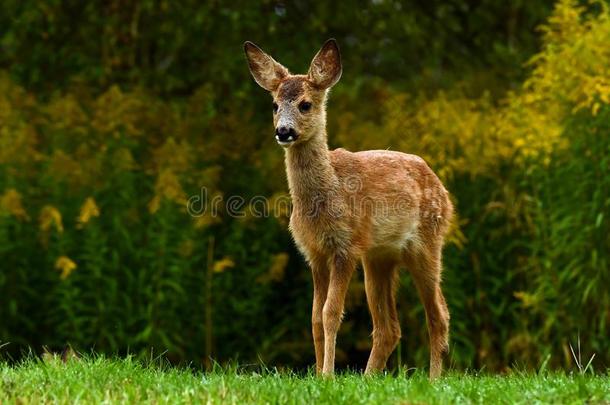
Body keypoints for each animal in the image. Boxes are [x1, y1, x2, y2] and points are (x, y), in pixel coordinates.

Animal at [243, 39, 452, 378]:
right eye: (274, 105)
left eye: (305, 104)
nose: (283, 131)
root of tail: (443, 190)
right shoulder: (314, 254)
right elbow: (315, 317)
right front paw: (317, 374)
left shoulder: (345, 247)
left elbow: (331, 312)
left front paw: (328, 374)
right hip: (379, 258)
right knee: (389, 327)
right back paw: (369, 378)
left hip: (428, 243)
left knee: (438, 314)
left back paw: (434, 380)